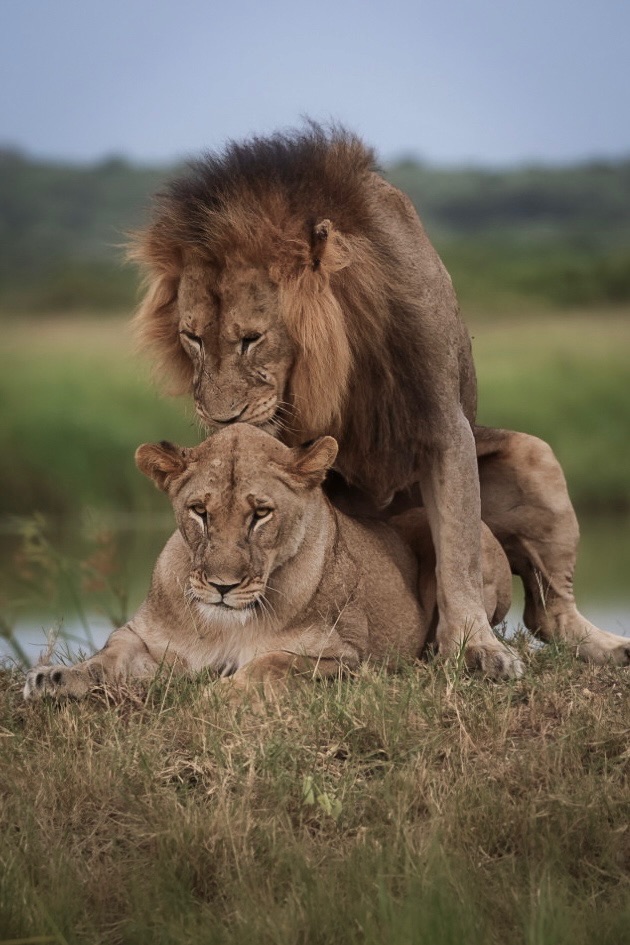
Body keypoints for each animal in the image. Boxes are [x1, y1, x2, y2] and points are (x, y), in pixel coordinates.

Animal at [23, 425, 513, 701]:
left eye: (260, 514)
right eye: (199, 511)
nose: (222, 586)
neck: (223, 625)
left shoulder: (346, 658)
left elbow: (272, 663)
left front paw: (221, 692)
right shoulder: (147, 642)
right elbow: (106, 658)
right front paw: (53, 678)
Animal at [128, 125, 630, 671]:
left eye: (251, 338)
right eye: (192, 337)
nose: (222, 419)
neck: (343, 349)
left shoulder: (442, 422)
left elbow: (458, 549)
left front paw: (476, 647)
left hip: (536, 459)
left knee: (548, 612)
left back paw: (607, 646)